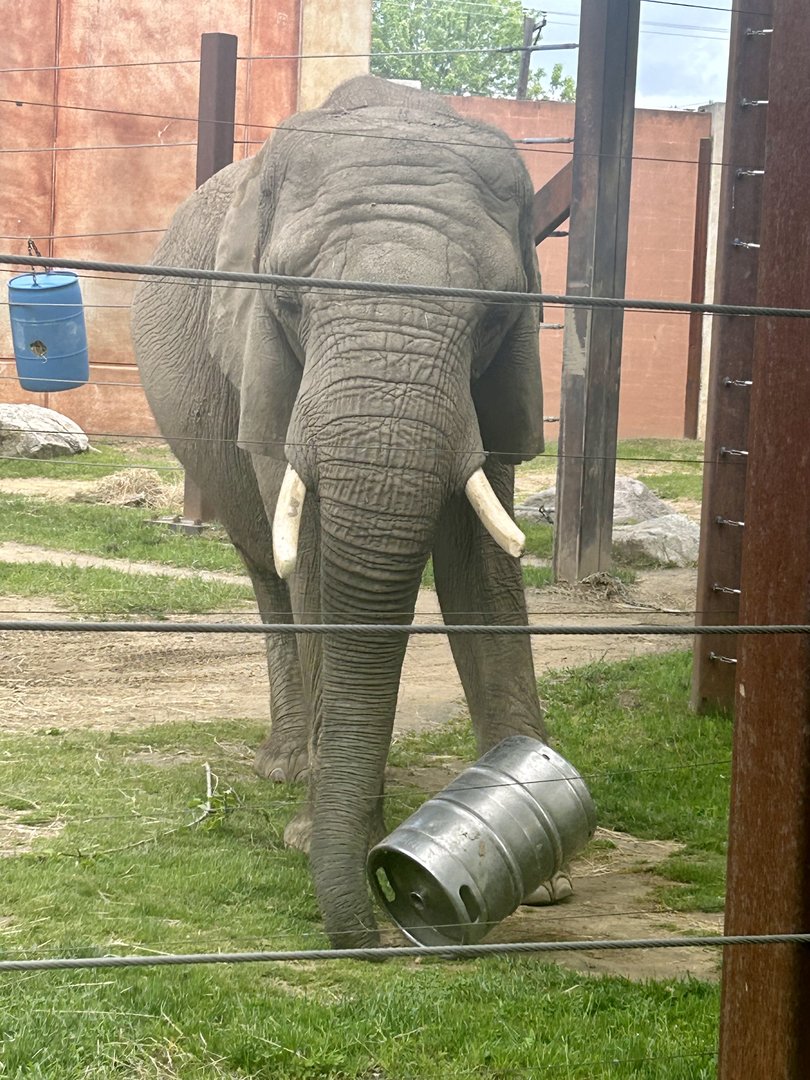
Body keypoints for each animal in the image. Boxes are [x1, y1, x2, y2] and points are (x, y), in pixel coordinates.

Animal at [131, 75, 560, 949]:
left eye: (495, 315)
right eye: (291, 301)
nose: (387, 912)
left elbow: (482, 567)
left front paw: (540, 865)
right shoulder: (264, 363)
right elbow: (319, 565)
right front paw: (312, 837)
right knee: (269, 571)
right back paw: (288, 767)